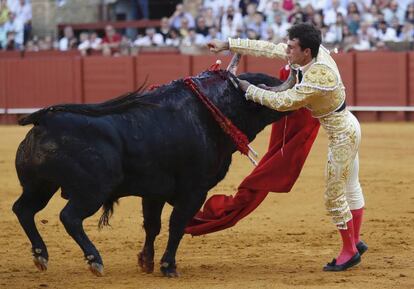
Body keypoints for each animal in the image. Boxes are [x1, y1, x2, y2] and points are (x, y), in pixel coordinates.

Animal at [12, 55, 294, 276]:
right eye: (263, 89)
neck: (214, 111)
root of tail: (45, 121)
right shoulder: (194, 191)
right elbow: (176, 224)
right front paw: (168, 266)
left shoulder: (154, 191)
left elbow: (152, 225)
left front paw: (146, 262)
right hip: (92, 190)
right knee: (69, 217)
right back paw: (94, 260)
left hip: (40, 186)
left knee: (23, 209)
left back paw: (41, 255)